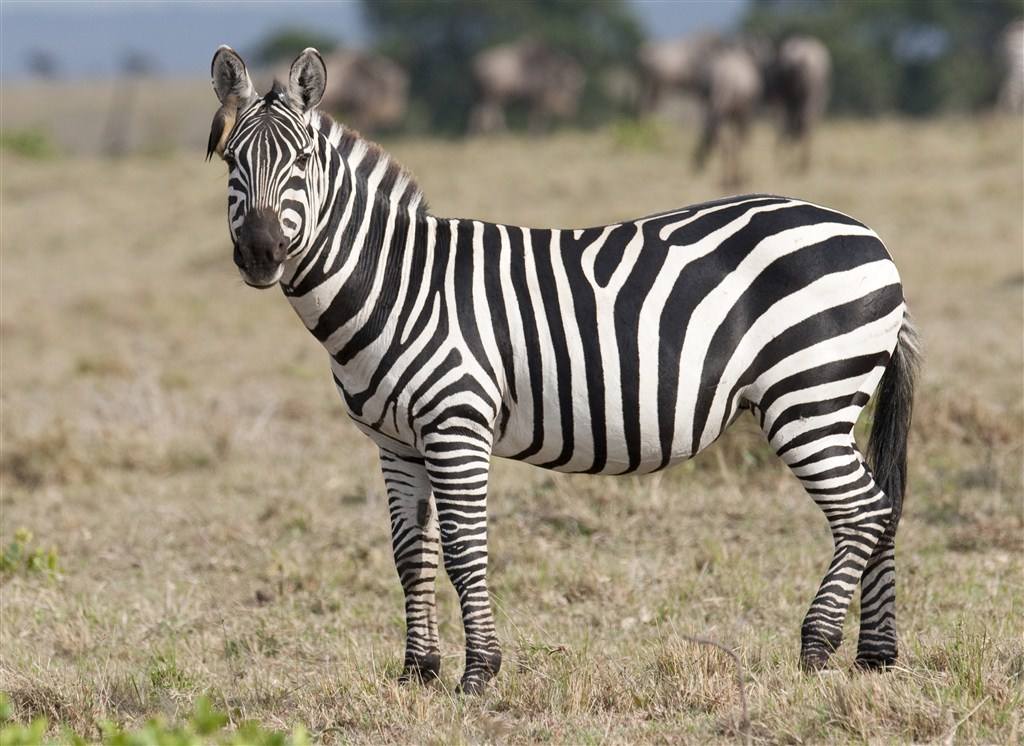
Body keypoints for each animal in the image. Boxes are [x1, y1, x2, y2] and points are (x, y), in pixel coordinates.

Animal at [205, 48, 921, 691]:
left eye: (301, 162)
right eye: (234, 162)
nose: (262, 252)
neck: (397, 285)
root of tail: (872, 239)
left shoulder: (456, 425)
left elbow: (463, 551)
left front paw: (479, 674)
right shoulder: (395, 443)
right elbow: (412, 555)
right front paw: (417, 672)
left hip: (809, 395)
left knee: (862, 512)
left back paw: (817, 647)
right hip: (830, 400)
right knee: (883, 509)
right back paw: (875, 655)